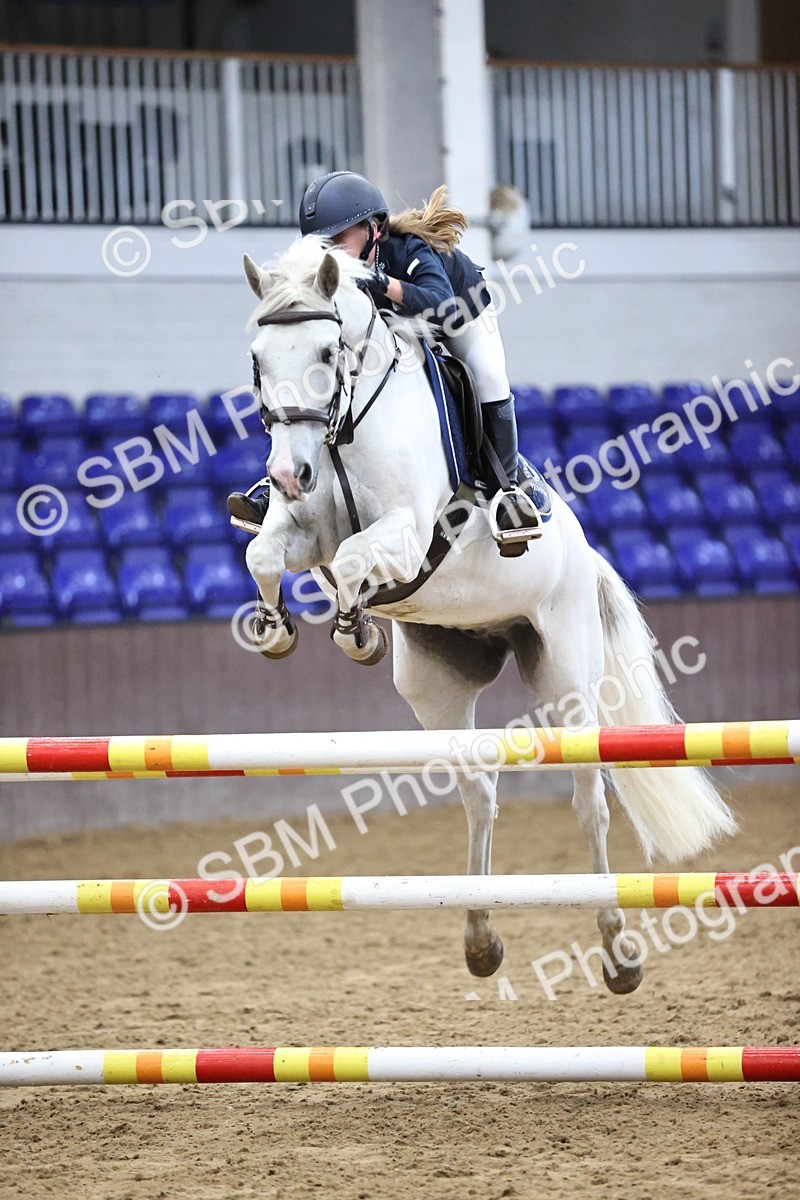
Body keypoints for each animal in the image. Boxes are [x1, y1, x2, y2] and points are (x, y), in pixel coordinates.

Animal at [240, 235, 736, 990]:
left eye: (326, 353)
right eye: (258, 361)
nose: (288, 473)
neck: (348, 425)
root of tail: (584, 552)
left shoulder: (409, 537)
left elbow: (353, 560)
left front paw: (357, 633)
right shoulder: (305, 528)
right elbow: (266, 553)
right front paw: (275, 630)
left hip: (566, 679)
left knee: (589, 801)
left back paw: (618, 952)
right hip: (439, 686)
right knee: (480, 793)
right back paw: (479, 936)